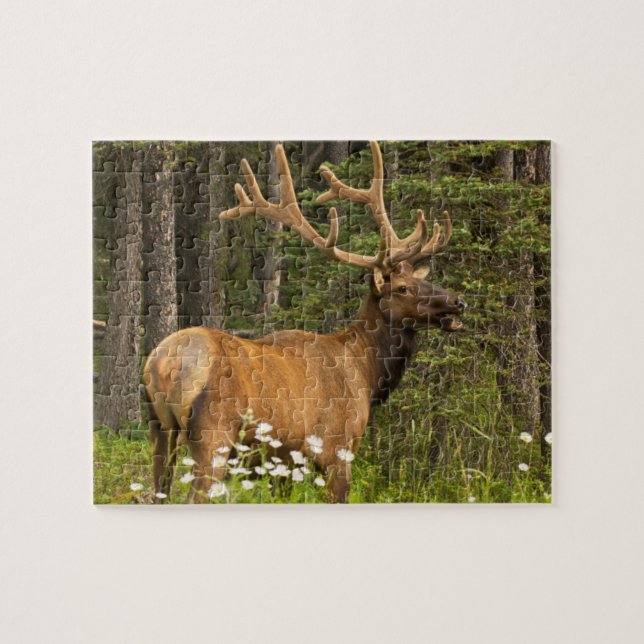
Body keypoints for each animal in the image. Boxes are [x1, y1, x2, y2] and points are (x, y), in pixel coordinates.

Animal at [143, 141, 465, 503]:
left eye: (422, 279)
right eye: (403, 288)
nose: (458, 302)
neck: (366, 374)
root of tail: (164, 363)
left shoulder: (284, 464)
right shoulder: (337, 449)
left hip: (159, 430)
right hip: (213, 436)